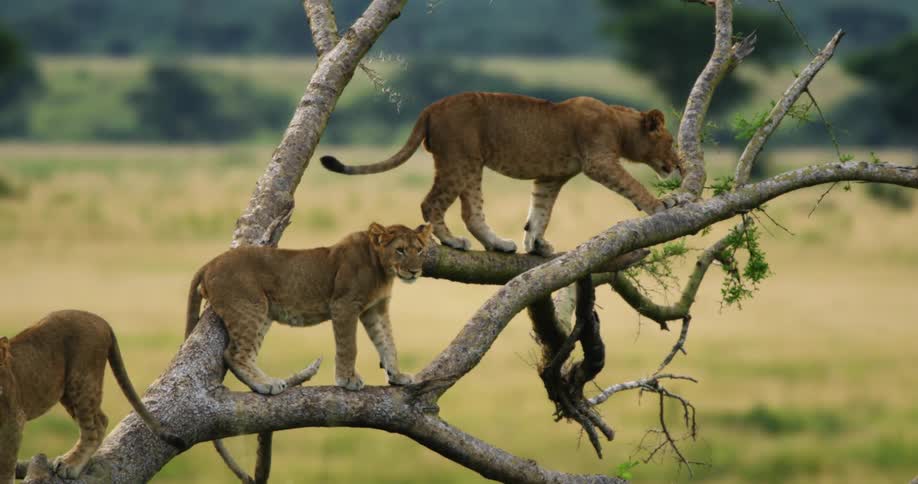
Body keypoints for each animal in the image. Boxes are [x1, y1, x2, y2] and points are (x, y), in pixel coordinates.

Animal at [321, 92, 684, 257]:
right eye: (670, 142)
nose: (680, 165)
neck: (620, 125)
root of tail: (432, 107)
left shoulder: (550, 177)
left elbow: (540, 212)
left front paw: (536, 245)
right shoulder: (599, 161)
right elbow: (632, 185)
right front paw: (660, 205)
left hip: (470, 165)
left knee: (471, 212)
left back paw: (498, 244)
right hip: (460, 160)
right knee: (433, 204)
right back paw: (453, 241)